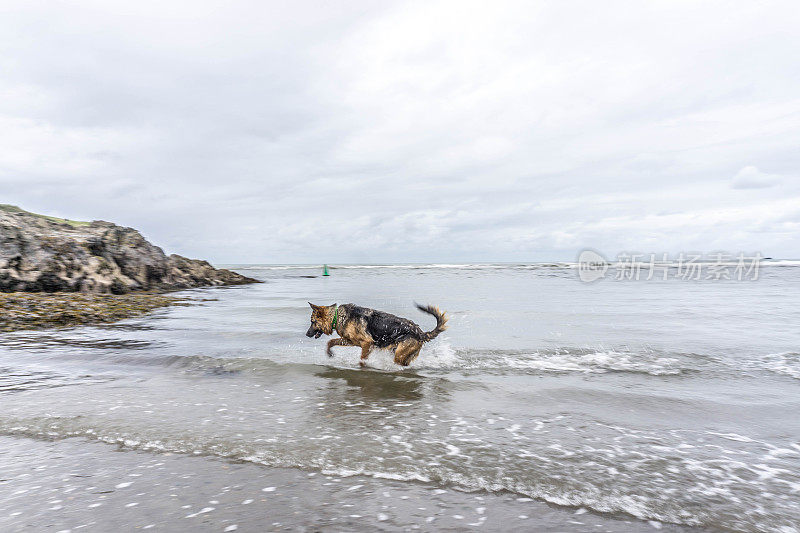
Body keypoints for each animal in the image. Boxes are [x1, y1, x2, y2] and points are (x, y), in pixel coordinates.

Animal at [304, 304, 446, 366]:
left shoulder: (367, 344)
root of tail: (420, 332)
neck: (337, 316)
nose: (306, 334)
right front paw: (329, 353)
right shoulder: (350, 341)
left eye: (312, 322)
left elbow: (362, 359)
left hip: (399, 355)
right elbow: (331, 342)